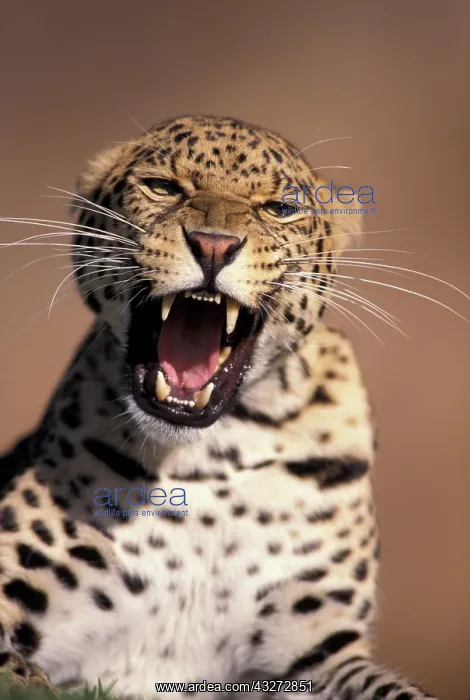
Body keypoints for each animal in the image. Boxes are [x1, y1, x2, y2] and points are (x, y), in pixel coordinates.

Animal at [0, 115, 437, 700]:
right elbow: (17, 671)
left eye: (279, 208)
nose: (212, 246)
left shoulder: (318, 648)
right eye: (162, 187)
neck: (210, 452)